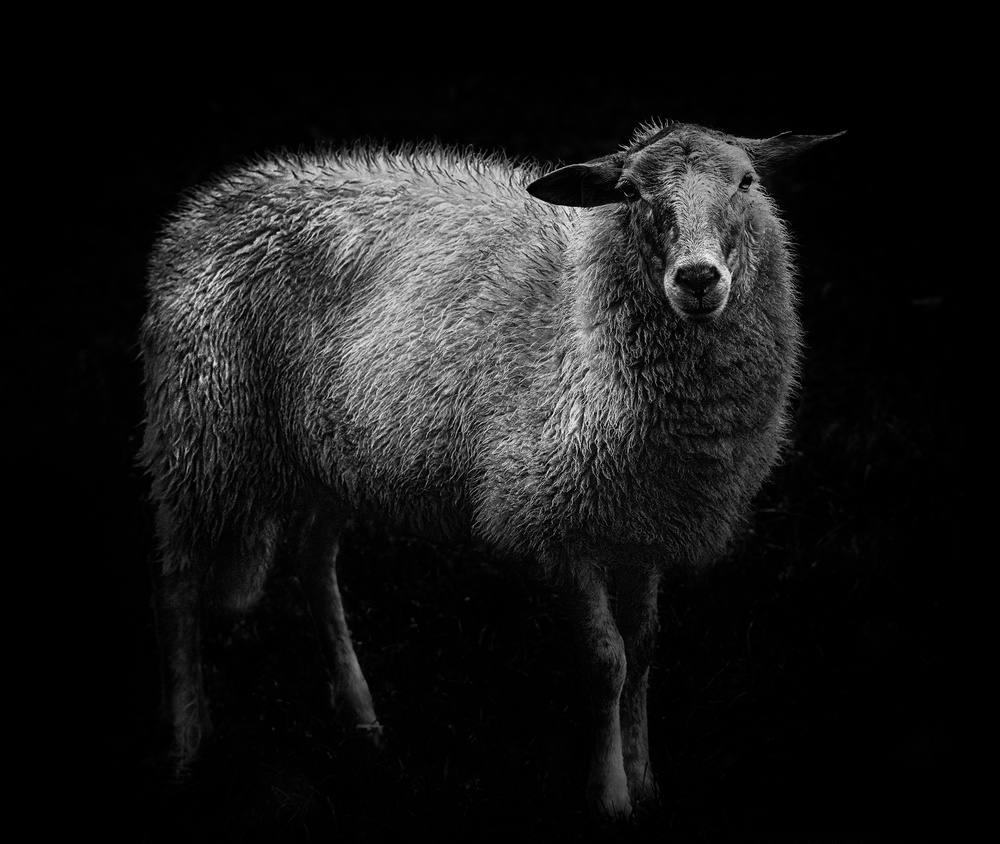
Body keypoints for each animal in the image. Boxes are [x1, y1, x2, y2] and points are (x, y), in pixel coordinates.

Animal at [140, 119, 841, 818]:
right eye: (630, 194)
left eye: (746, 183)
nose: (697, 278)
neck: (577, 320)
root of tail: (216, 199)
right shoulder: (558, 521)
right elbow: (607, 660)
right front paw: (610, 795)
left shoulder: (644, 523)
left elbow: (643, 648)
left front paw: (645, 780)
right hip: (203, 428)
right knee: (177, 584)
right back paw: (189, 745)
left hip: (332, 449)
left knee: (313, 561)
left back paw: (363, 721)